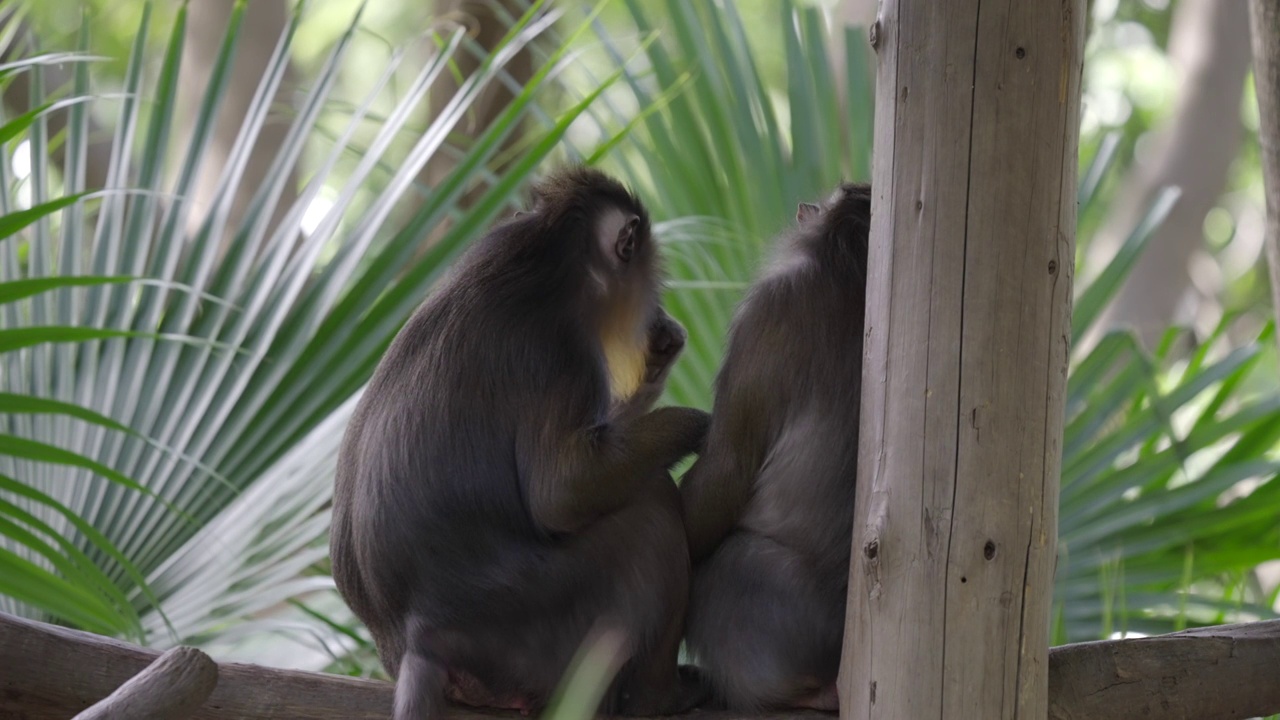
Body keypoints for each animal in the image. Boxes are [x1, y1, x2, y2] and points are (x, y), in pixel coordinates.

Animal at [330, 165, 711, 712]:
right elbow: (561, 493)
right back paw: (659, 696)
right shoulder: (561, 350)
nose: (658, 318)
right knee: (651, 509)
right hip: (540, 636)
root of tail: (421, 641)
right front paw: (702, 423)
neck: (548, 258)